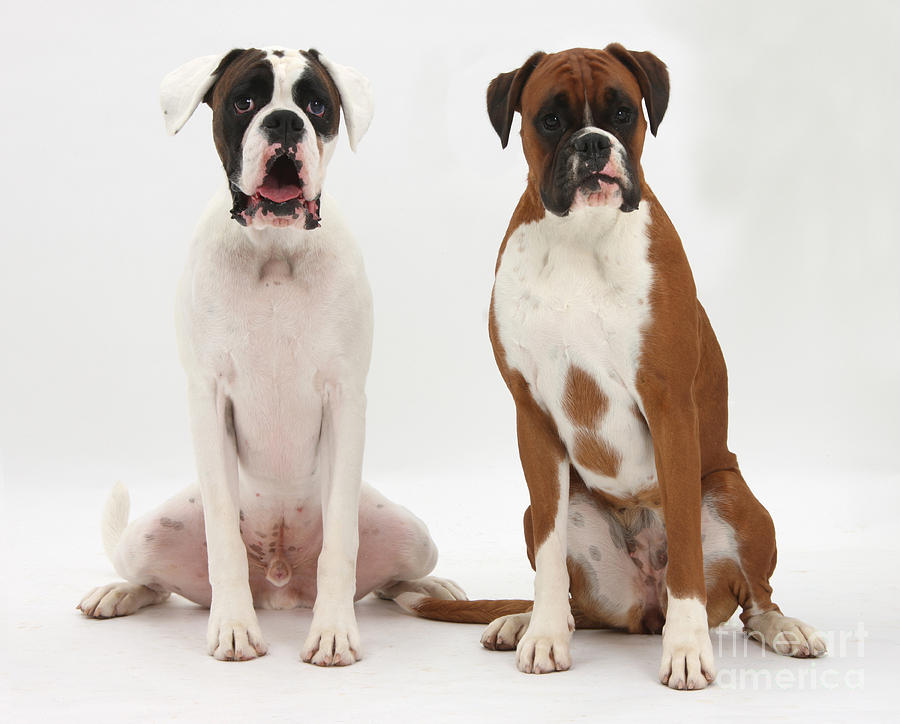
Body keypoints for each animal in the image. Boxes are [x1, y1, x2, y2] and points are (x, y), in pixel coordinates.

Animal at [79, 48, 464, 664]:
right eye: (245, 101)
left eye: (316, 105)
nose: (284, 122)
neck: (276, 252)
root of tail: (282, 584)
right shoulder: (208, 400)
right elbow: (222, 543)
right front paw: (234, 626)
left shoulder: (344, 400)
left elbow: (342, 546)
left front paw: (333, 631)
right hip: (145, 537)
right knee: (152, 583)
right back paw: (118, 593)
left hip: (414, 534)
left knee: (394, 581)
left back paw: (431, 588)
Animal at [400, 45, 828, 692]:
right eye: (550, 120)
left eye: (623, 113)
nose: (593, 144)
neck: (581, 236)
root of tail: (641, 610)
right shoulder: (532, 417)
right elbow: (551, 560)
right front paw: (545, 635)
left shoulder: (669, 404)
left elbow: (686, 552)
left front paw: (687, 649)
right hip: (541, 506)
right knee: (572, 591)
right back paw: (523, 622)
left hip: (734, 494)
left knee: (756, 601)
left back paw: (783, 628)